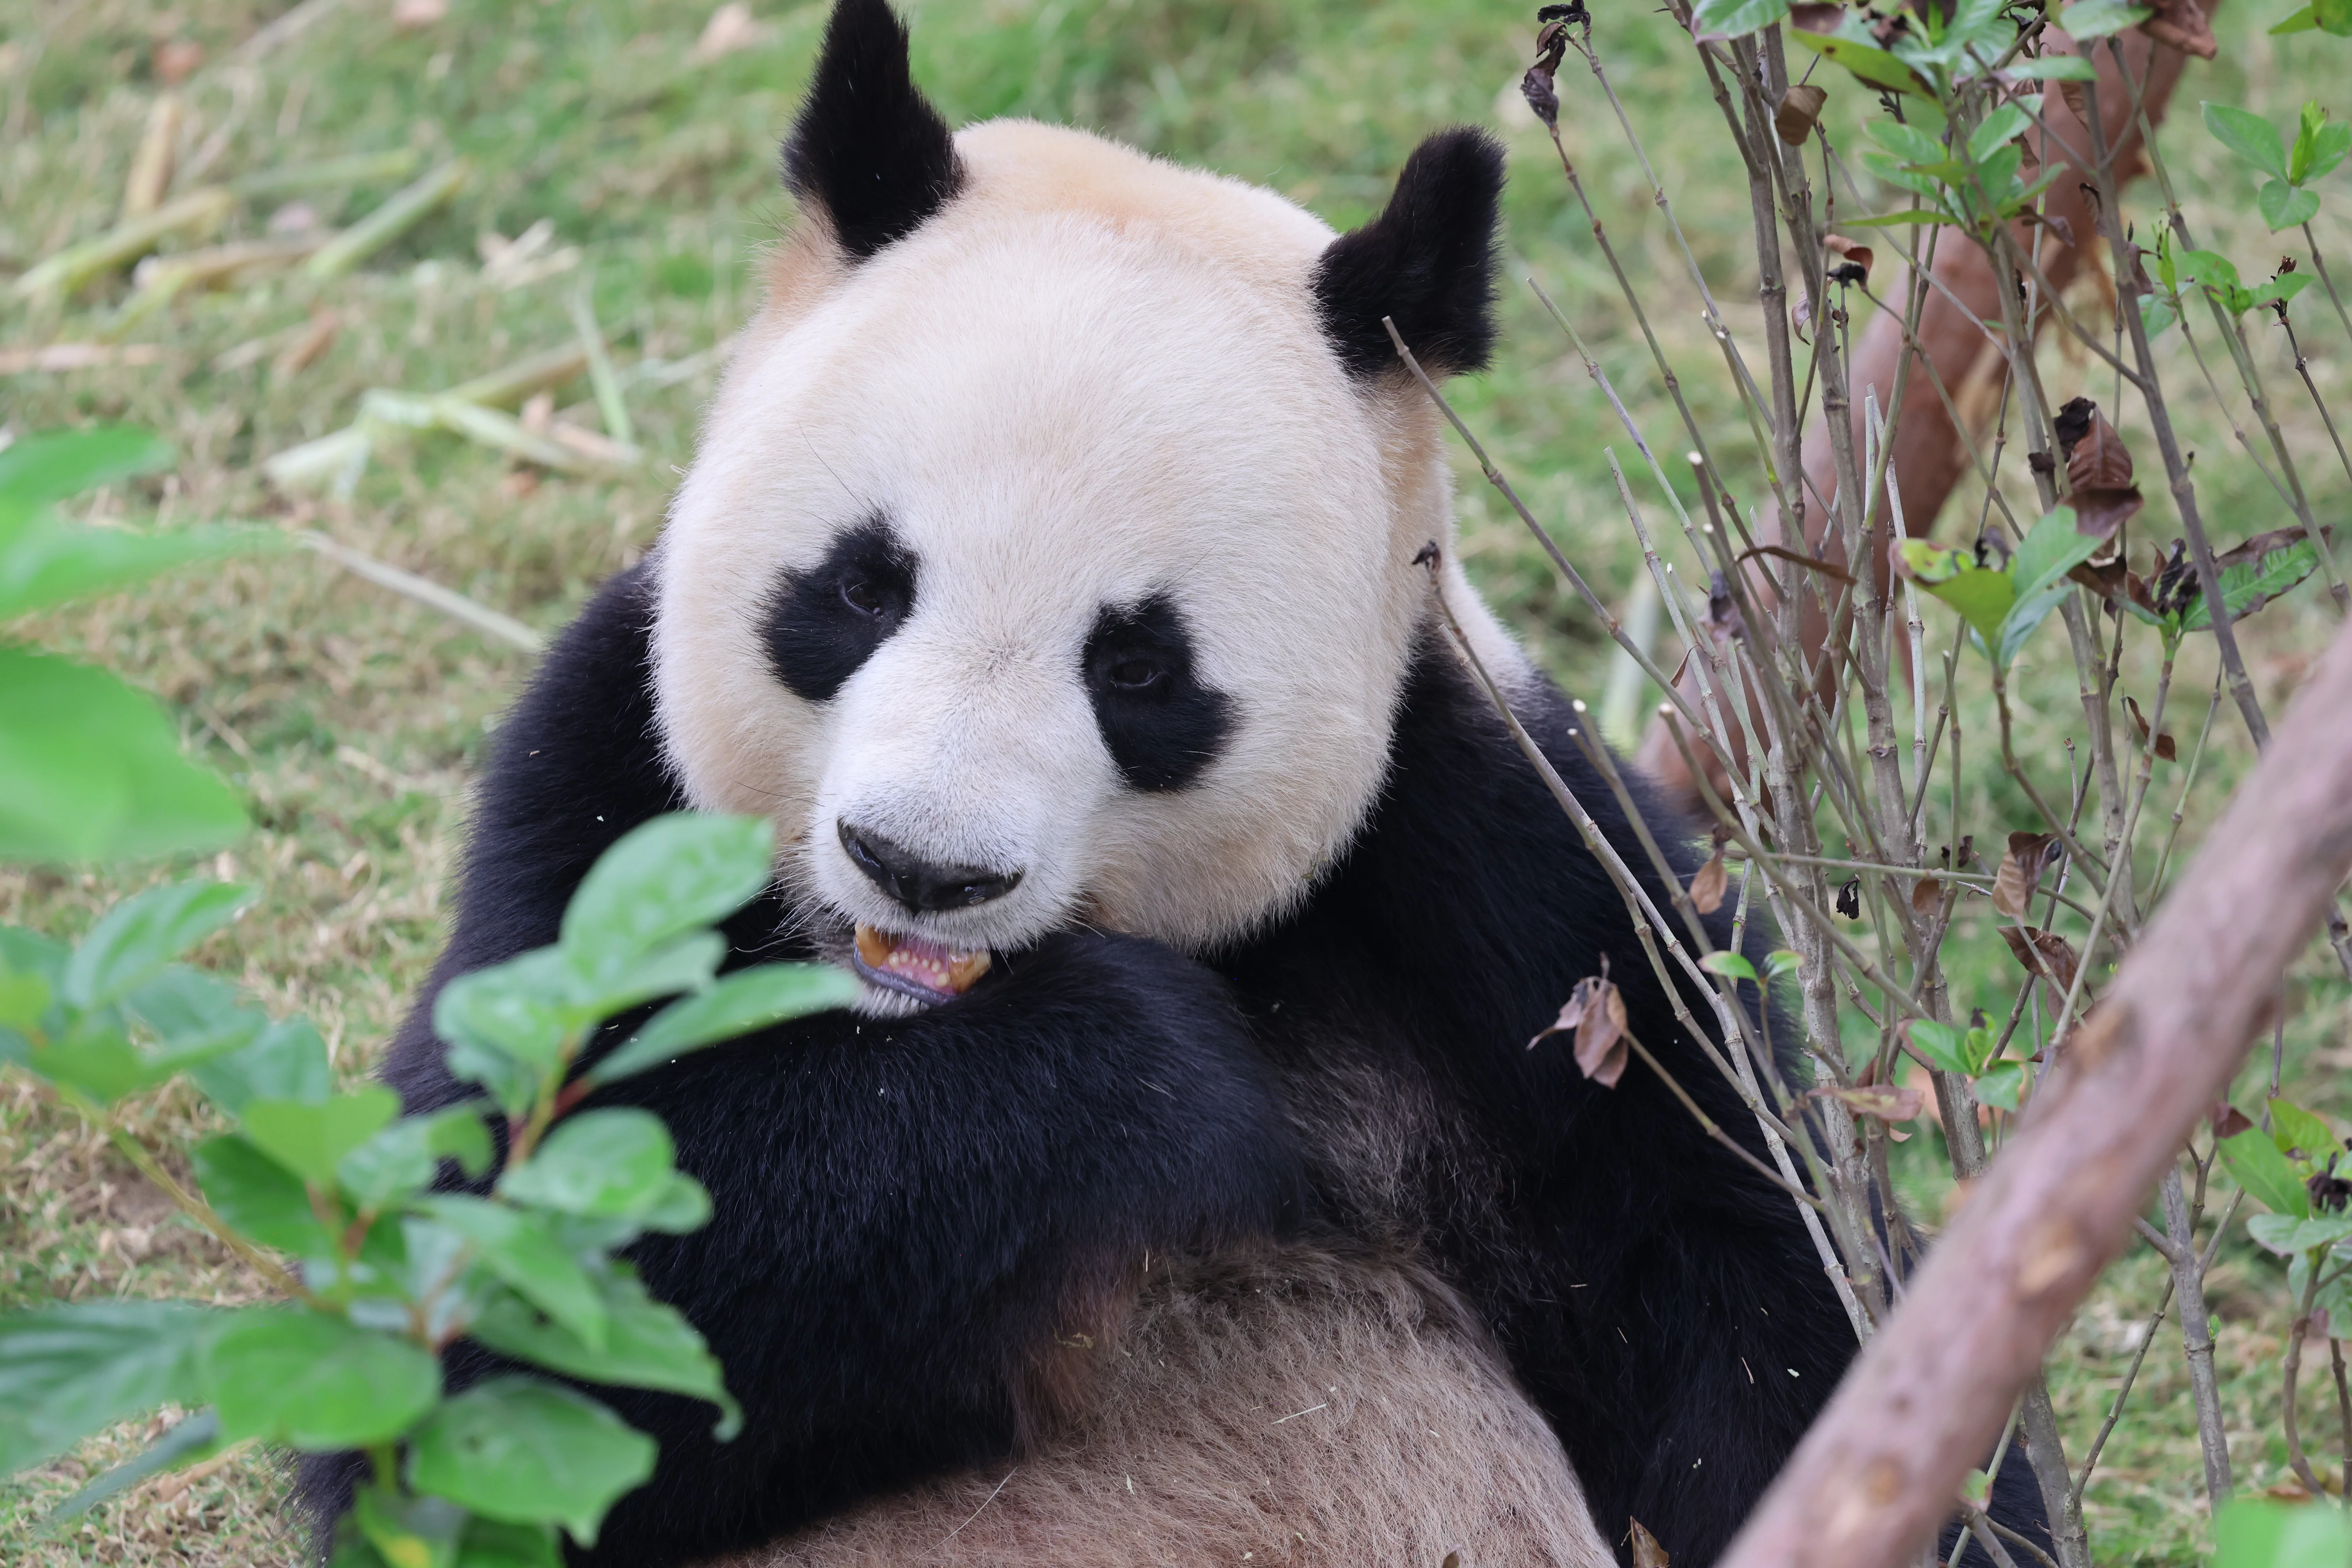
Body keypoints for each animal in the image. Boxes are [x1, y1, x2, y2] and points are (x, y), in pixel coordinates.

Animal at [345, 2, 2048, 1564]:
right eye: (863, 586)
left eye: (1140, 668)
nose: (924, 866)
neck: (916, 1017)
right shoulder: (596, 810)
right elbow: (486, 1299)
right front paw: (1152, 1073)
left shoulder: (1506, 865)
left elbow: (1756, 1264)